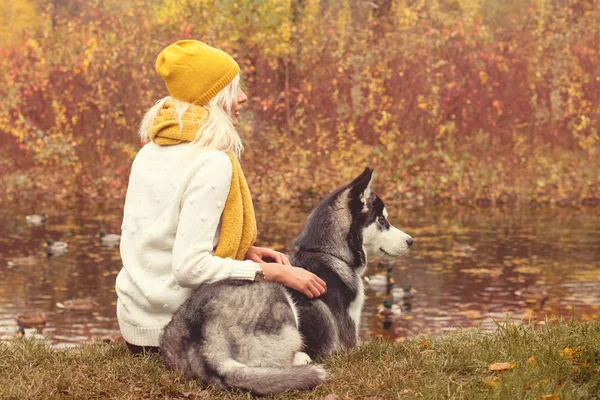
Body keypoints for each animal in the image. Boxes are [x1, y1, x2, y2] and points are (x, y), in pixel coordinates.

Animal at [159, 167, 412, 396]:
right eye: (382, 220)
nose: (411, 241)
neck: (327, 253)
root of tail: (207, 339)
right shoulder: (349, 344)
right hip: (278, 297)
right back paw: (301, 359)